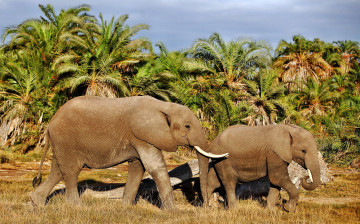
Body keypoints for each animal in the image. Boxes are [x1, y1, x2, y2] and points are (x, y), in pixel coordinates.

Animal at [31, 95, 228, 209]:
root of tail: (49, 124)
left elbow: (138, 167)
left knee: (57, 171)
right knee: (71, 171)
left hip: (61, 143)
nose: (206, 207)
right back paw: (77, 207)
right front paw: (173, 212)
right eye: (187, 126)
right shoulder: (142, 136)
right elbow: (154, 166)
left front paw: (125, 209)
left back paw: (37, 204)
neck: (165, 106)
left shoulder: (138, 139)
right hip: (66, 140)